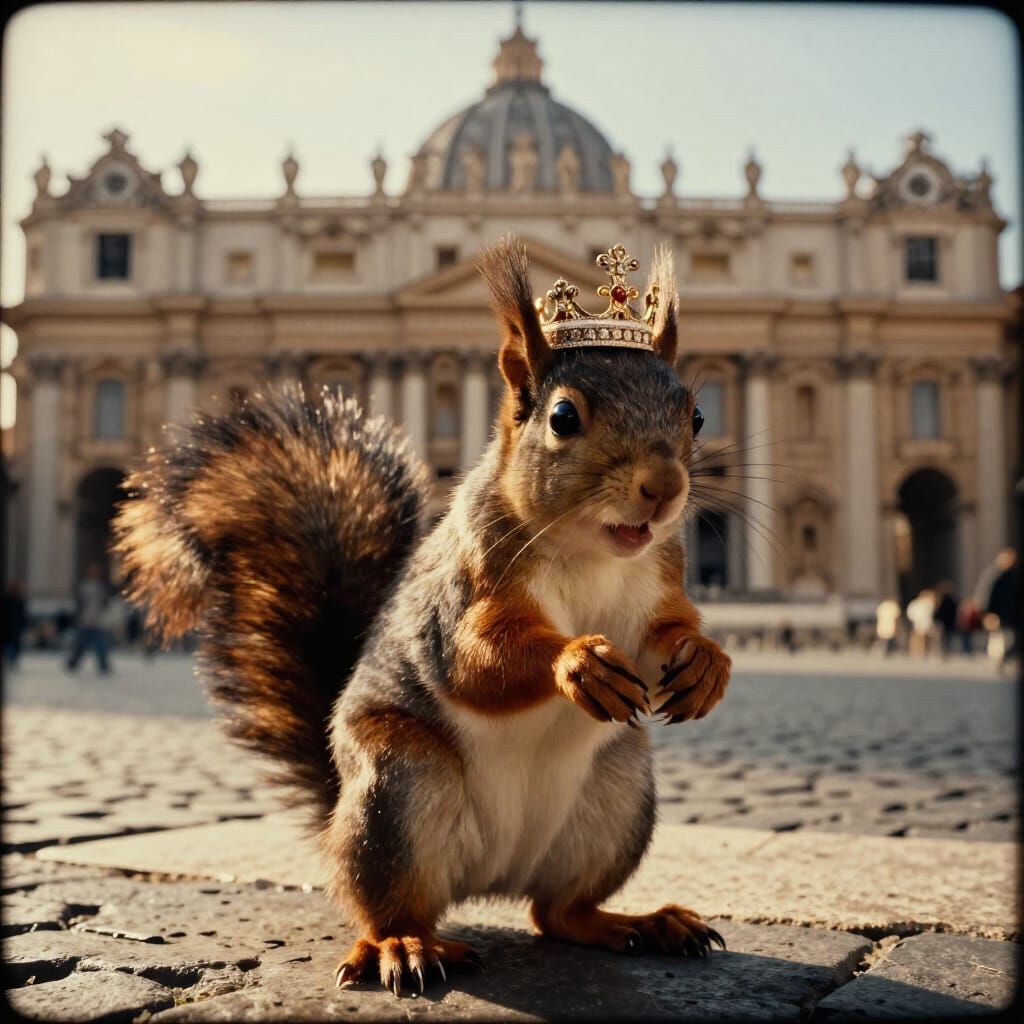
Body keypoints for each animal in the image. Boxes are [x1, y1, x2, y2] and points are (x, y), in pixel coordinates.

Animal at [114, 237, 732, 996]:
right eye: (563, 418)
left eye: (696, 416)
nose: (664, 487)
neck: (592, 551)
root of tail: (490, 877)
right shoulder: (465, 588)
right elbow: (476, 660)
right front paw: (576, 661)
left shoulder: (659, 581)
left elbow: (668, 632)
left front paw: (707, 664)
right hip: (397, 793)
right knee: (393, 904)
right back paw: (403, 945)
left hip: (617, 798)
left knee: (558, 913)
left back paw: (638, 922)